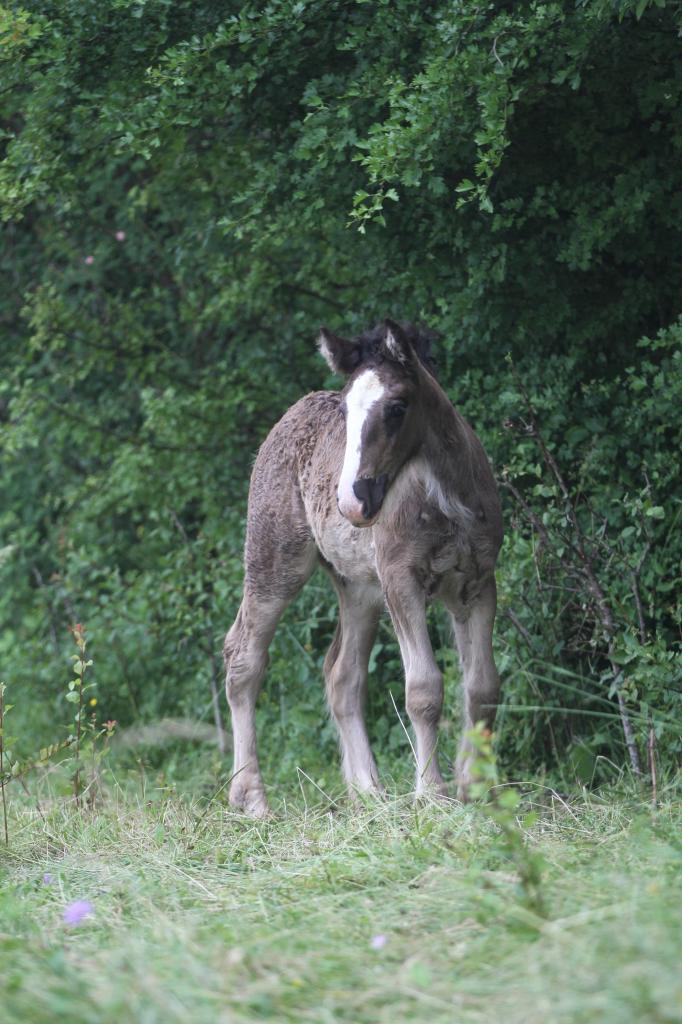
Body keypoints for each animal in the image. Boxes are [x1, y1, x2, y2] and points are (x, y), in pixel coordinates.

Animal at [222, 319, 499, 815]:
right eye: (347, 411)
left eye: (397, 407)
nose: (353, 500)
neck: (450, 500)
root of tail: (288, 416)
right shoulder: (401, 580)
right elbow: (424, 689)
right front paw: (432, 793)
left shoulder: (479, 583)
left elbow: (481, 687)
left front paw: (477, 787)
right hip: (276, 561)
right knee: (243, 656)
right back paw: (251, 797)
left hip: (358, 589)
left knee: (342, 674)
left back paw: (368, 791)